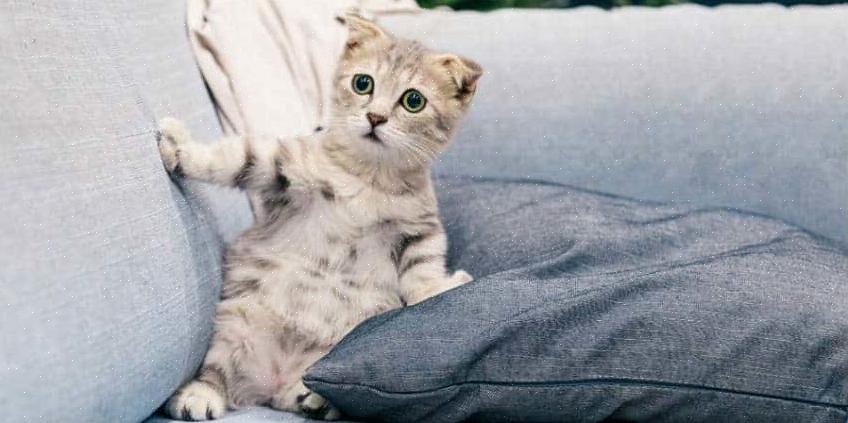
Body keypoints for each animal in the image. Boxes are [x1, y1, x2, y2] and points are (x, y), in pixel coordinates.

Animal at [157, 14, 482, 421]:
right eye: (363, 83)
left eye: (413, 100)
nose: (375, 117)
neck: (369, 178)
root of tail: (273, 380)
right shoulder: (284, 167)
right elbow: (236, 158)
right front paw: (179, 148)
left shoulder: (419, 228)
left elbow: (422, 270)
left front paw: (437, 289)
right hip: (235, 324)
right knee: (216, 371)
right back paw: (199, 396)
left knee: (295, 395)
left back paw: (312, 398)